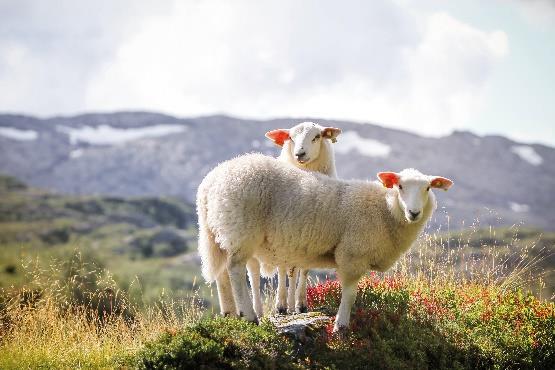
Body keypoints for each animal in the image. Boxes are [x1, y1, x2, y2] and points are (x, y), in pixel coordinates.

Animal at [198, 153, 454, 330]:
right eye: (399, 186)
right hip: (241, 229)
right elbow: (349, 293)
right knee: (235, 270)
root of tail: (210, 181)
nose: (414, 213)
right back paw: (249, 316)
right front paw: (341, 325)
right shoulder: (352, 254)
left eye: (428, 188)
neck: (385, 210)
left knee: (222, 273)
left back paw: (230, 313)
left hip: (220, 232)